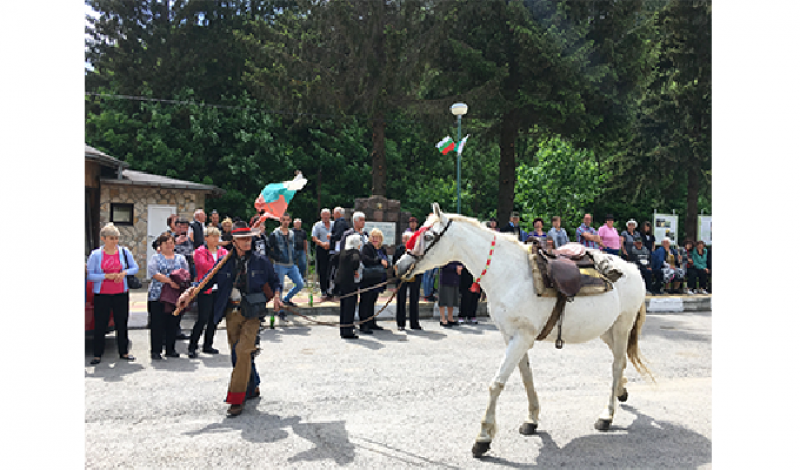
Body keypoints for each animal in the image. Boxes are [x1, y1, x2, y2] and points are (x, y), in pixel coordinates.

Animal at [394, 204, 648, 458]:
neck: (509, 275)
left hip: (622, 325)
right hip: (607, 330)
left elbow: (497, 383)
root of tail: (633, 268)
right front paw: (532, 419)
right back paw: (621, 391)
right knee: (621, 361)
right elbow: (526, 377)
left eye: (429, 236)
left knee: (616, 364)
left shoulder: (521, 337)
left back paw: (607, 415)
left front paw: (483, 437)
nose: (399, 266)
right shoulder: (512, 336)